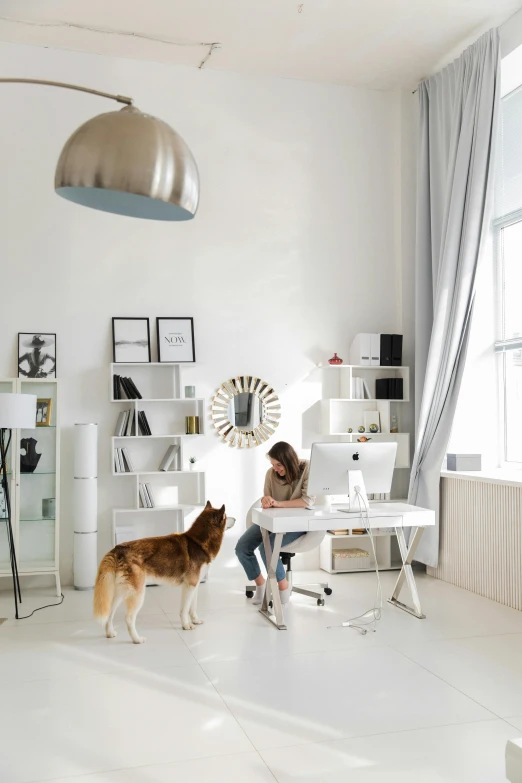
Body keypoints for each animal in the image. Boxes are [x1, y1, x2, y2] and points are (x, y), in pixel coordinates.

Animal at [92, 502, 225, 644]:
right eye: (227, 517)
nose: (234, 518)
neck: (197, 542)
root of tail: (118, 549)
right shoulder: (189, 586)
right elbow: (184, 610)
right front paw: (186, 625)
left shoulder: (194, 586)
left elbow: (192, 607)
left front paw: (195, 620)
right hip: (138, 594)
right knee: (129, 619)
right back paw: (137, 639)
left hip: (121, 592)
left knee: (109, 613)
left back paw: (110, 633)